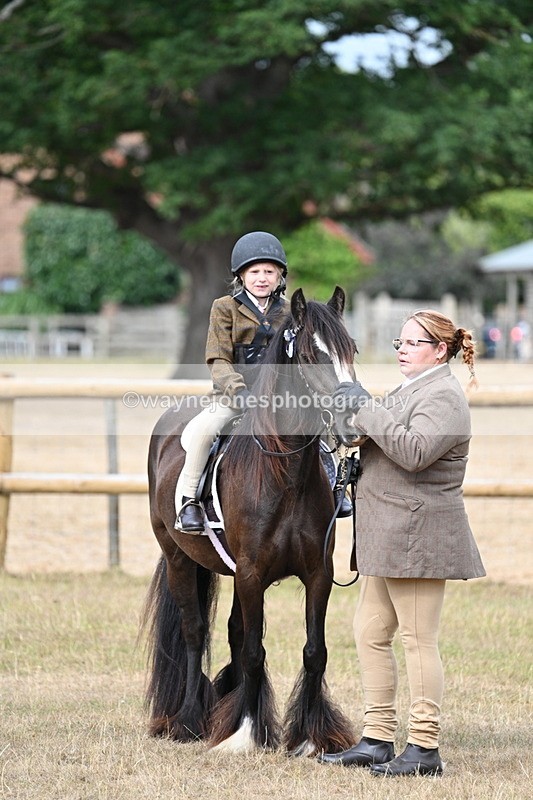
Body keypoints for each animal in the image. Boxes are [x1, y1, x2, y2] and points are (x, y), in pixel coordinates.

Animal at [141, 285, 361, 756]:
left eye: (351, 349)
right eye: (311, 354)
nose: (354, 416)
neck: (286, 476)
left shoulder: (317, 575)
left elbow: (314, 651)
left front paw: (310, 736)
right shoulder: (251, 574)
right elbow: (254, 652)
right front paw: (243, 732)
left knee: (233, 632)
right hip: (180, 559)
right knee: (195, 632)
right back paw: (188, 719)